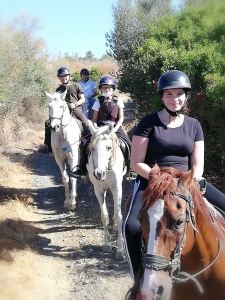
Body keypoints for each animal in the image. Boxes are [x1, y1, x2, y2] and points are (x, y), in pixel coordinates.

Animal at [86, 122, 125, 260]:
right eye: (92, 148)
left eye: (109, 148)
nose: (98, 173)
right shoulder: (98, 190)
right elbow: (104, 216)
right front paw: (107, 245)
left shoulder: (117, 188)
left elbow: (119, 216)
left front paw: (120, 250)